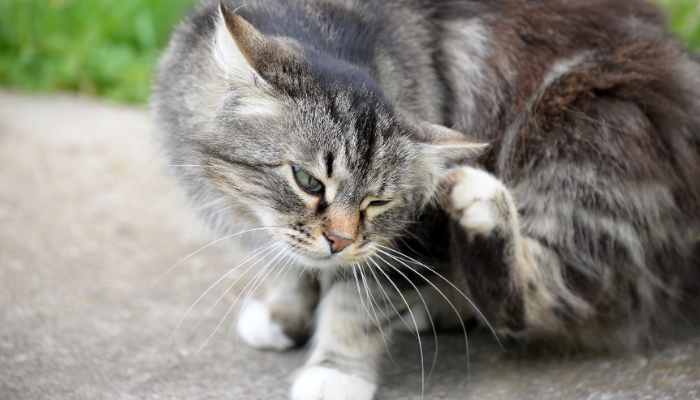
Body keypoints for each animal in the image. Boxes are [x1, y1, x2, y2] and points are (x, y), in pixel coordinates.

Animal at [152, 0, 700, 398]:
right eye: (308, 181)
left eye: (377, 203)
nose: (340, 242)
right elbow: (290, 266)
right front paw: (284, 315)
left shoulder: (407, 239)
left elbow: (359, 304)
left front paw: (336, 371)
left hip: (590, 139)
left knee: (541, 300)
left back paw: (480, 205)